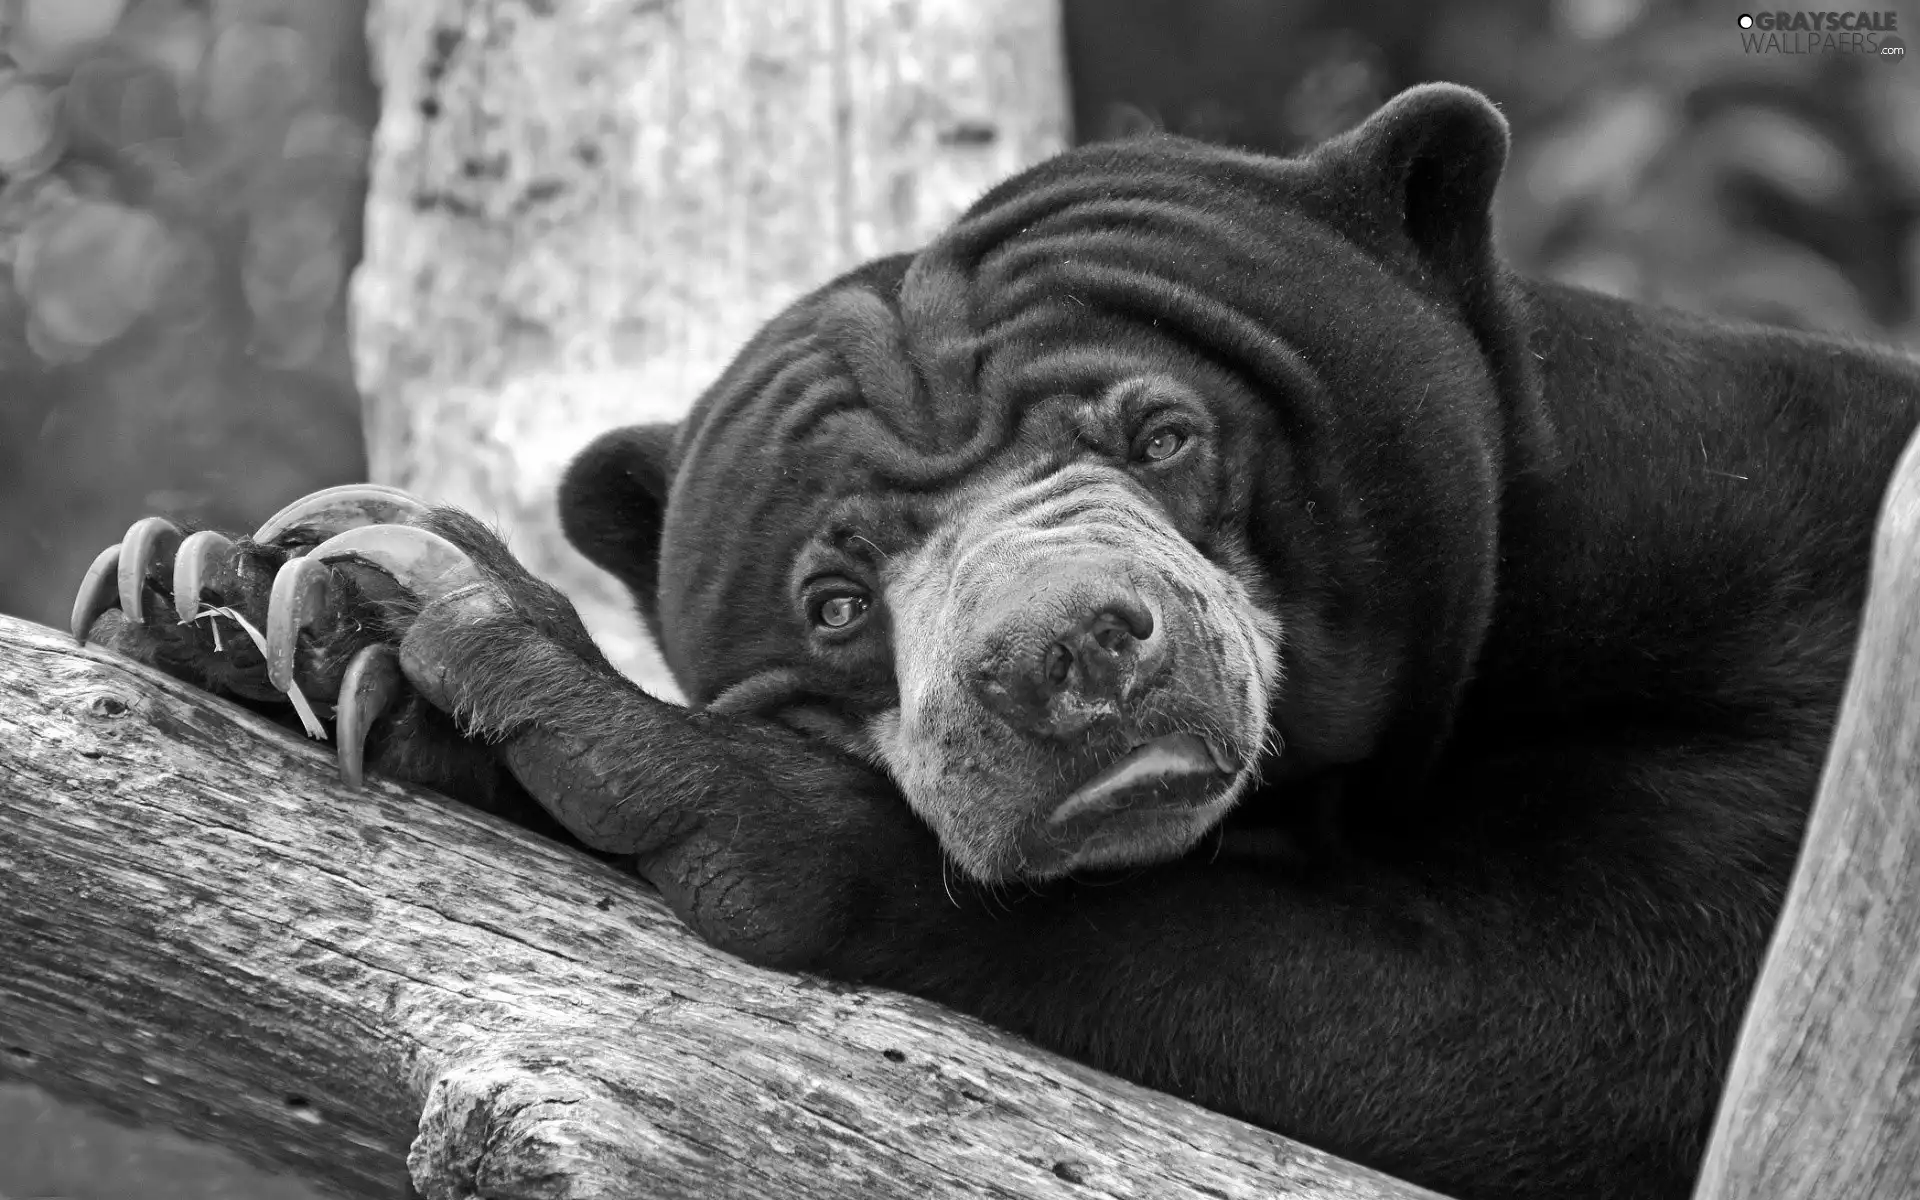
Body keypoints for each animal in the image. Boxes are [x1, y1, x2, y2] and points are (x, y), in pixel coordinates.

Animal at [67, 86, 1920, 1198]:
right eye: (834, 601)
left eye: (1164, 435)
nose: (1066, 656)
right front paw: (250, 602)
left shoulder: (1789, 637)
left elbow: (1594, 1028)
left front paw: (566, 705)